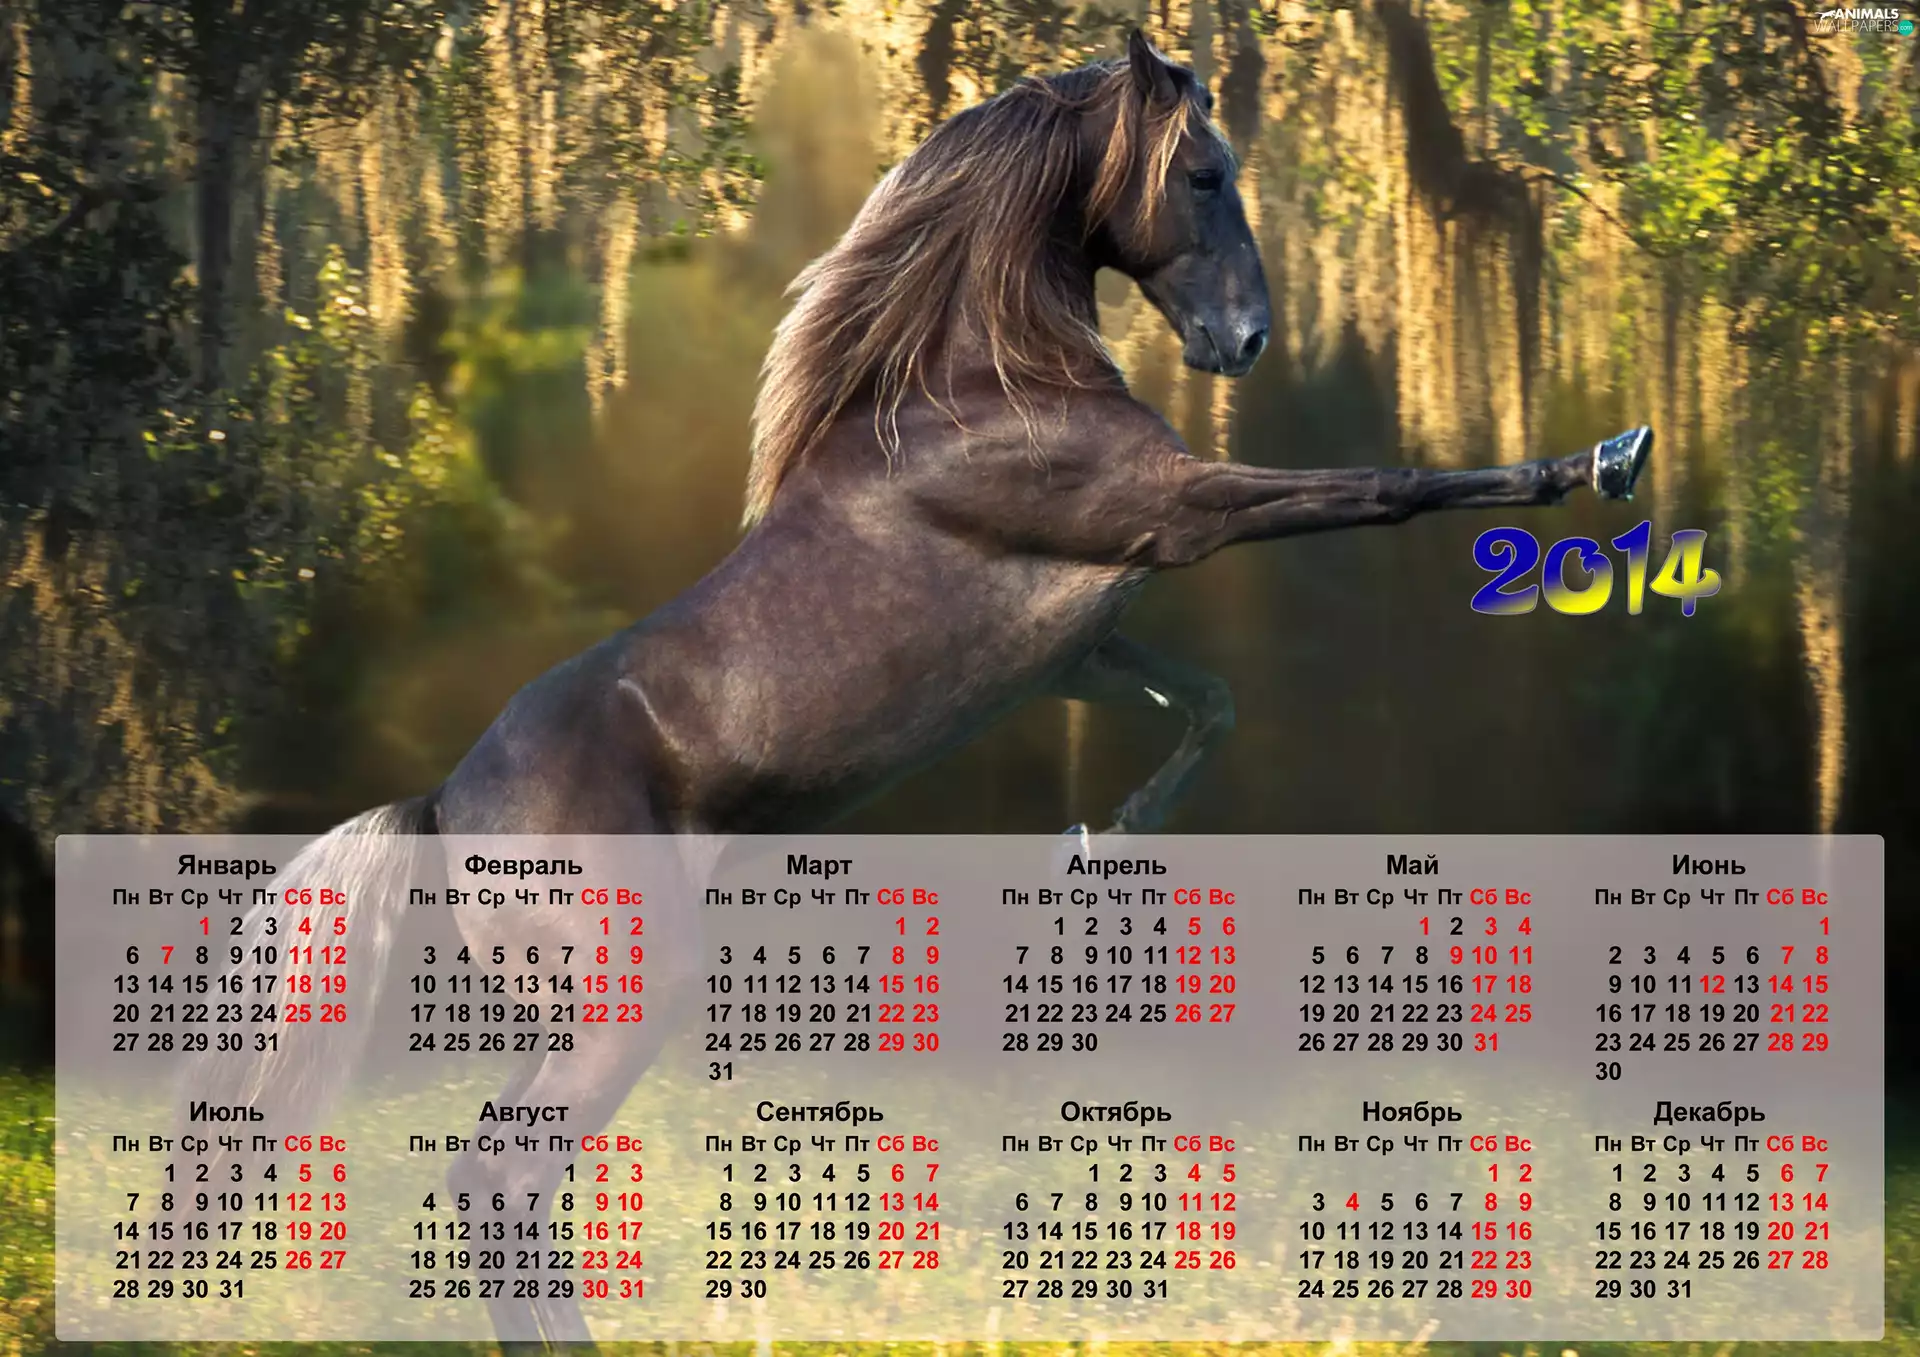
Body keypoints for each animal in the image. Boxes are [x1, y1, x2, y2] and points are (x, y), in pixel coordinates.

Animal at [182, 30, 1650, 1349]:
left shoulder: (1082, 642)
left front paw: (1100, 845)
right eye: (1204, 174)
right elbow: (1391, 487)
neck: (980, 383)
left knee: (495, 1184)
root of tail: (444, 804)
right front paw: (1600, 460)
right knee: (502, 1179)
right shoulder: (1178, 514)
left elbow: (1209, 702)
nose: (1247, 340)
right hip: (622, 997)